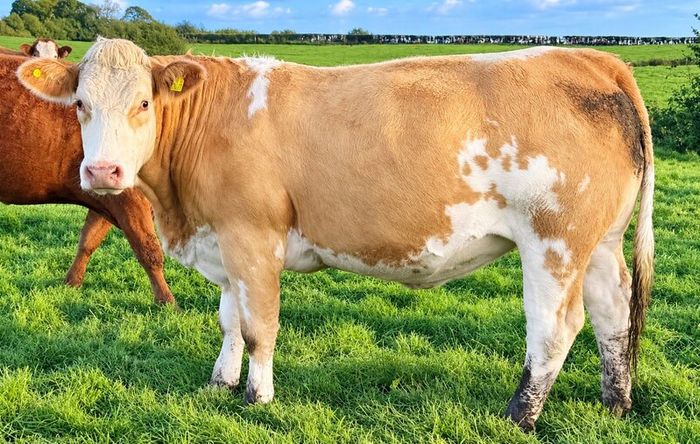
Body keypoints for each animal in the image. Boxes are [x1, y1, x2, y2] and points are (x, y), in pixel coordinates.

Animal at [18, 38, 655, 431]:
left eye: (145, 102)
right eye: (80, 103)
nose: (103, 172)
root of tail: (593, 59)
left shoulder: (253, 237)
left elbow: (258, 326)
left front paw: (256, 397)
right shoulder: (222, 240)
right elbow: (228, 321)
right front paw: (219, 385)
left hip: (555, 238)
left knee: (555, 327)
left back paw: (519, 415)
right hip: (599, 242)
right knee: (612, 313)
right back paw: (616, 405)